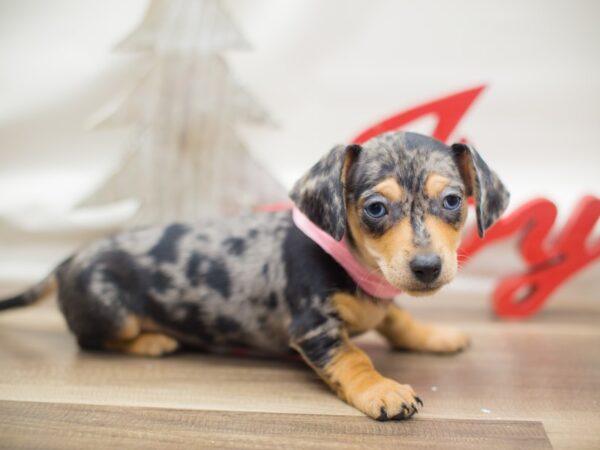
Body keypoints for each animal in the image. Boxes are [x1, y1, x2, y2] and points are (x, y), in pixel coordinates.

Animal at [0, 131, 508, 422]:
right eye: (376, 208)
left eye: (452, 200)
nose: (427, 268)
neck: (356, 267)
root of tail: (71, 258)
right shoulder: (315, 328)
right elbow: (354, 358)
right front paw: (382, 389)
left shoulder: (379, 301)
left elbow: (397, 319)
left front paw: (433, 335)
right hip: (112, 314)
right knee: (91, 339)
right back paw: (151, 341)